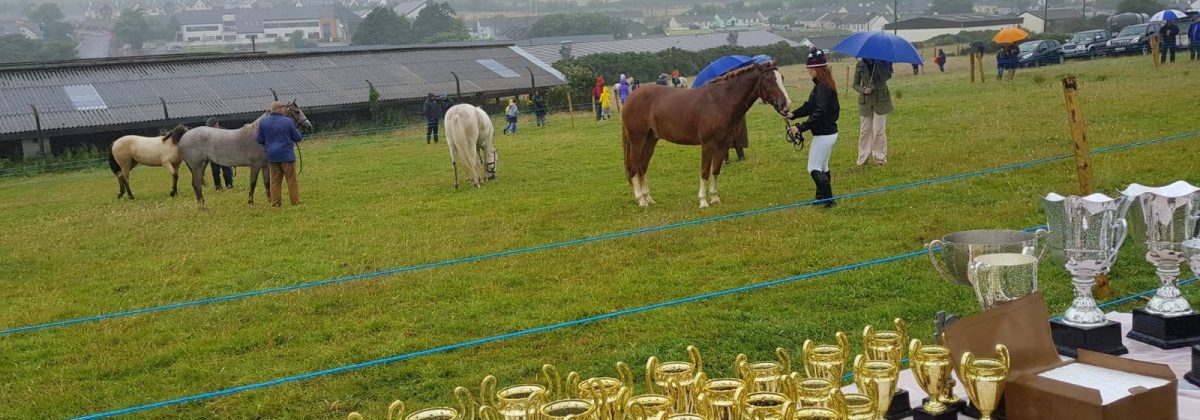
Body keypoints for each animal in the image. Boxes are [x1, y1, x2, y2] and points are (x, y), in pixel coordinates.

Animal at [624, 61, 792, 207]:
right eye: (768, 79)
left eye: (782, 78)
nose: (787, 105)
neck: (720, 101)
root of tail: (631, 97)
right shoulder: (707, 145)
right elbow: (704, 171)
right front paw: (703, 201)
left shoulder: (723, 145)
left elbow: (715, 170)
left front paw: (715, 198)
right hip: (637, 140)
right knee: (634, 167)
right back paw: (641, 200)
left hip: (650, 140)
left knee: (642, 167)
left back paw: (648, 198)